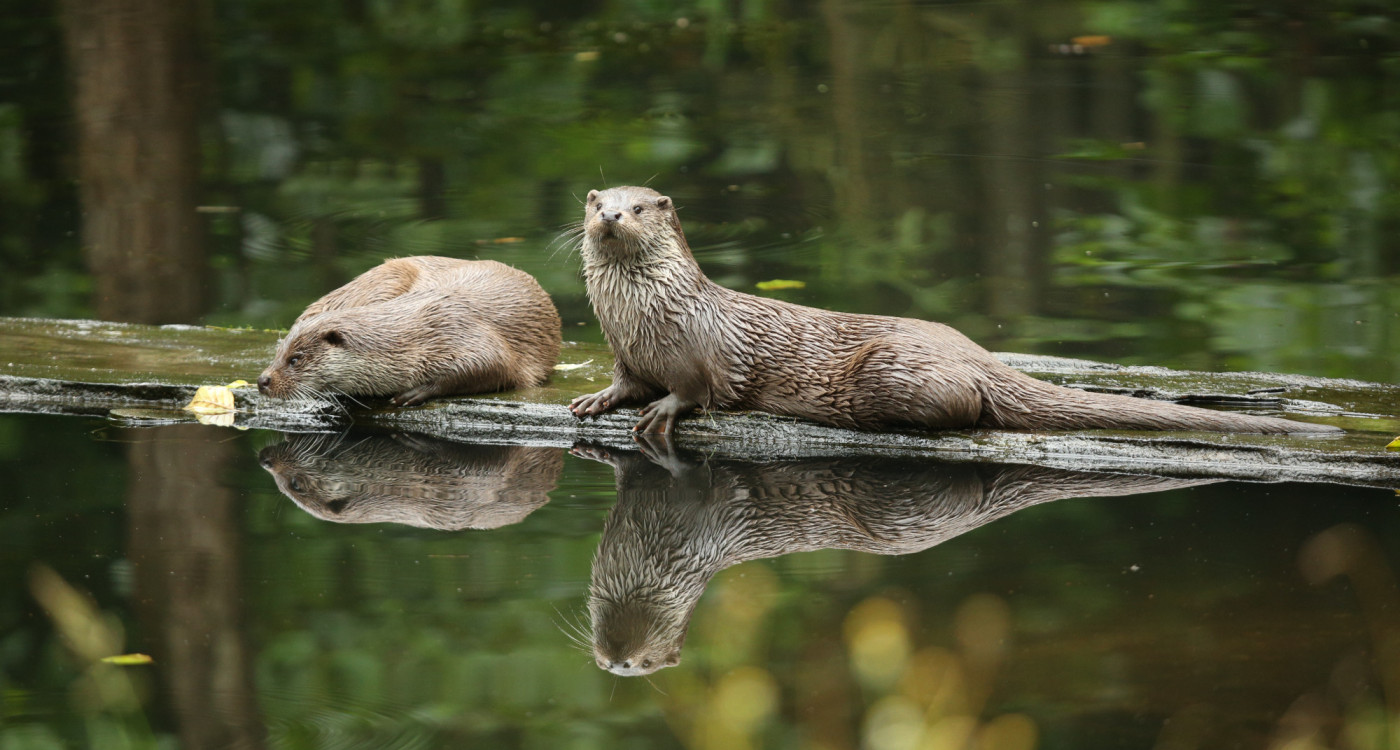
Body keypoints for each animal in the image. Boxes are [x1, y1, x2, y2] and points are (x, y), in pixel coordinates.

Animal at [259, 256, 561, 406]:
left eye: (295, 360)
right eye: (277, 354)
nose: (263, 380)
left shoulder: (462, 331)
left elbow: (495, 367)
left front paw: (415, 393)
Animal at [567, 186, 1339, 435]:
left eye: (640, 207)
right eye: (601, 200)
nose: (610, 215)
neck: (642, 313)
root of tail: (978, 354)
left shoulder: (696, 349)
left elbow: (694, 389)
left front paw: (662, 413)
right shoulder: (628, 350)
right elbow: (626, 380)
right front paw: (599, 399)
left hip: (895, 372)